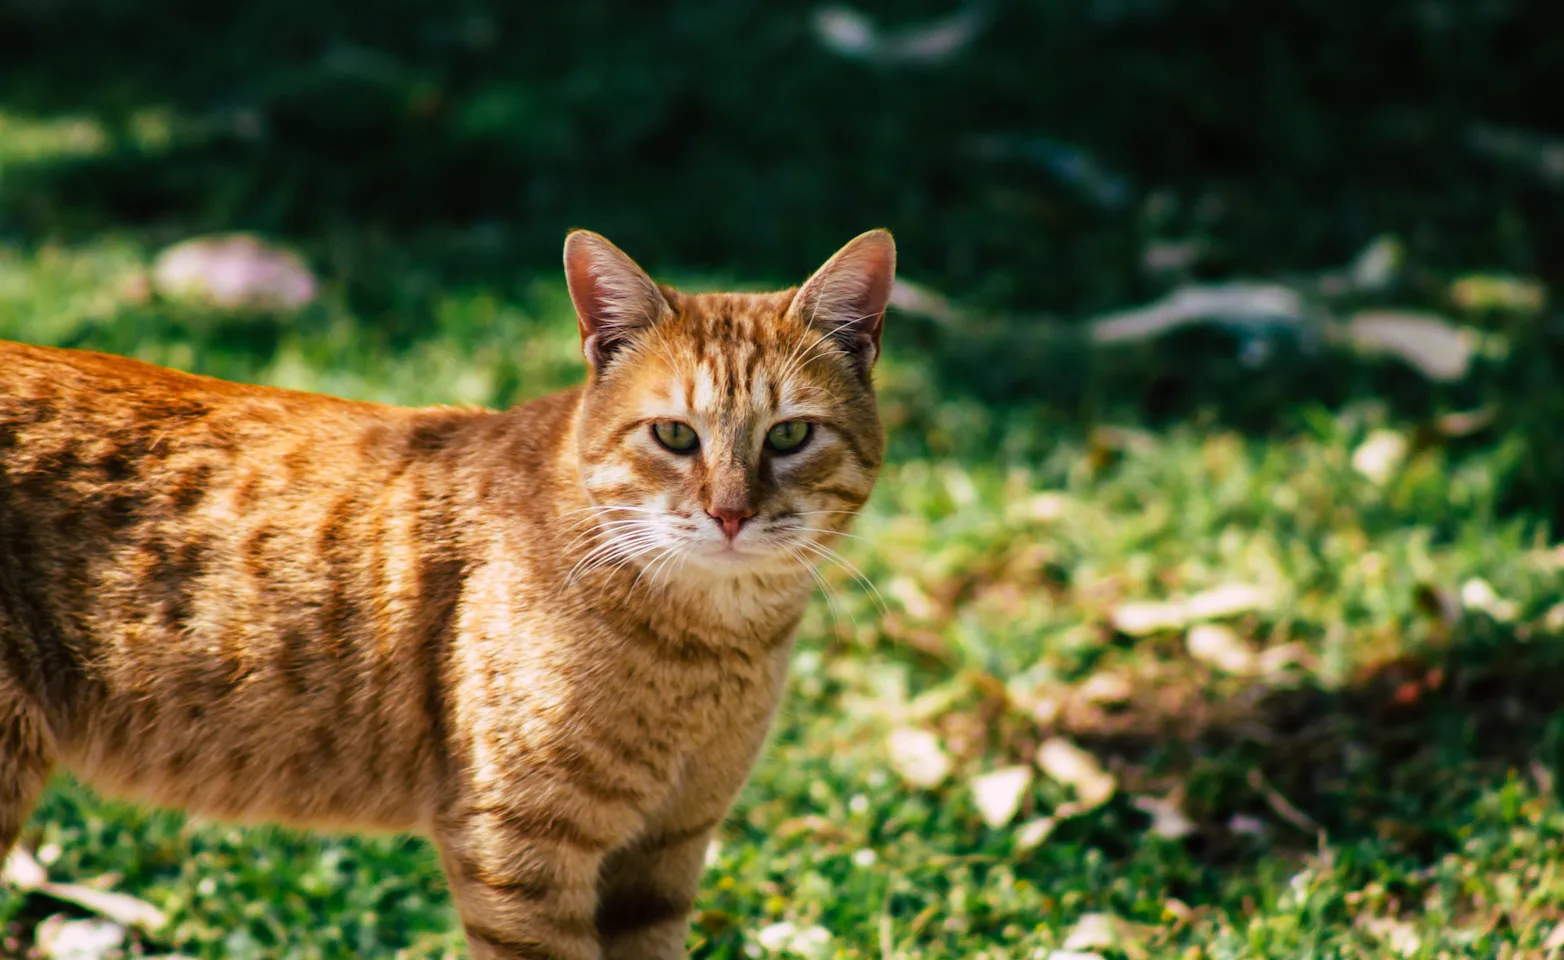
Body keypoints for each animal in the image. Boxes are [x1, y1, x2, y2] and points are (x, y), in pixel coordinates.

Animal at [0, 231, 894, 960]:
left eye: (789, 435)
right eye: (675, 435)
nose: (730, 514)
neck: (707, 649)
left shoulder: (665, 854)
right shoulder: (520, 853)